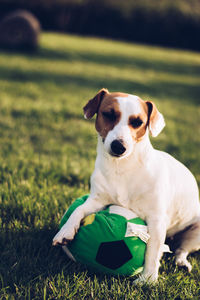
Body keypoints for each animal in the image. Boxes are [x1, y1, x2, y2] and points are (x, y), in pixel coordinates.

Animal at [53, 88, 200, 282]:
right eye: (108, 114)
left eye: (138, 122)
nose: (119, 146)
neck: (122, 168)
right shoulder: (97, 200)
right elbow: (79, 210)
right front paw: (65, 231)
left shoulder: (156, 220)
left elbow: (152, 252)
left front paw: (148, 280)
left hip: (196, 233)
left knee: (182, 249)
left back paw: (181, 262)